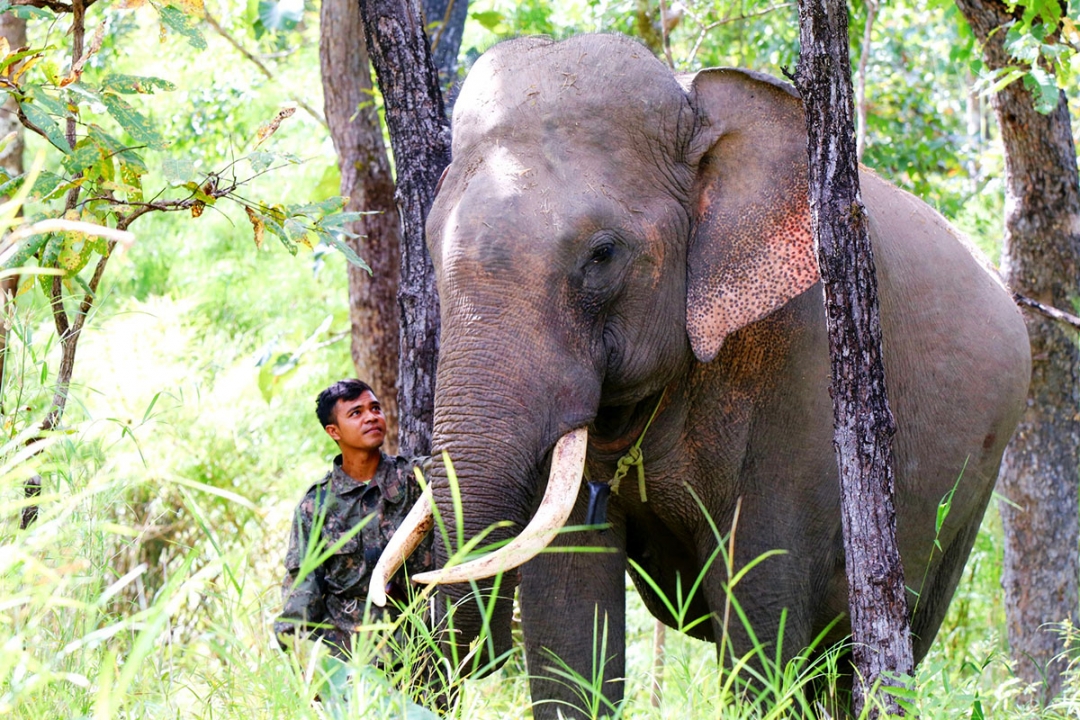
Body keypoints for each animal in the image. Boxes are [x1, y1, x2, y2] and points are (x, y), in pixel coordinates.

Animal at [369, 31, 1028, 716]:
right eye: (427, 239)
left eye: (602, 255)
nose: (405, 597)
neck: (699, 111)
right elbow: (571, 622)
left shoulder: (803, 371)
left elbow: (760, 609)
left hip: (973, 484)